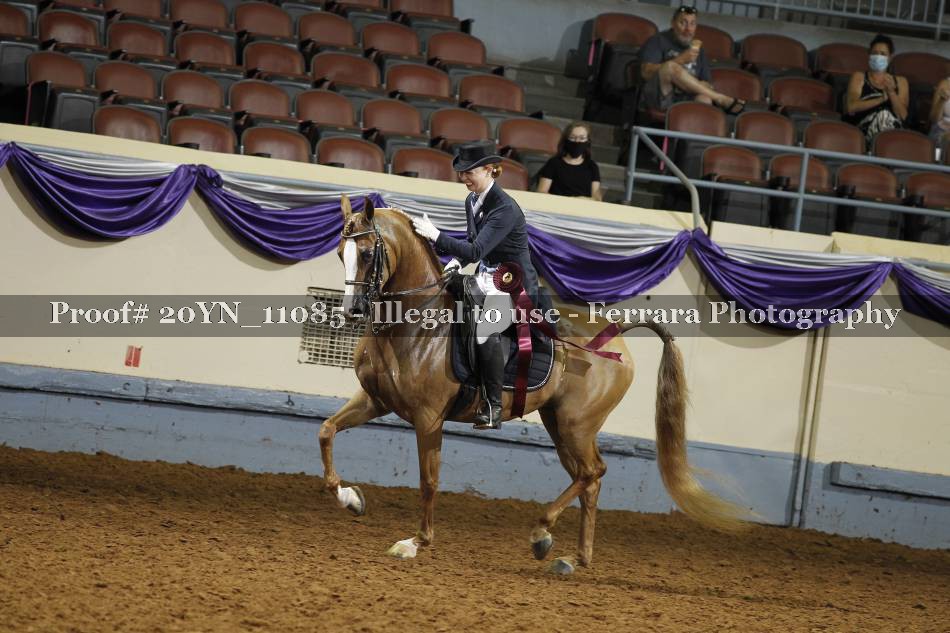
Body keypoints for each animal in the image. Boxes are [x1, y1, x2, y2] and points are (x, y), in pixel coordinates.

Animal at [319, 196, 743, 574]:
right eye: (340, 252)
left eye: (368, 254)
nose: (352, 310)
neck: (415, 321)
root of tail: (615, 334)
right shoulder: (375, 400)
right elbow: (326, 431)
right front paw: (349, 497)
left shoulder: (428, 418)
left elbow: (428, 480)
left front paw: (415, 542)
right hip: (562, 425)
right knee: (588, 480)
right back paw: (573, 558)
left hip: (575, 426)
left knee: (593, 472)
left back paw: (542, 532)